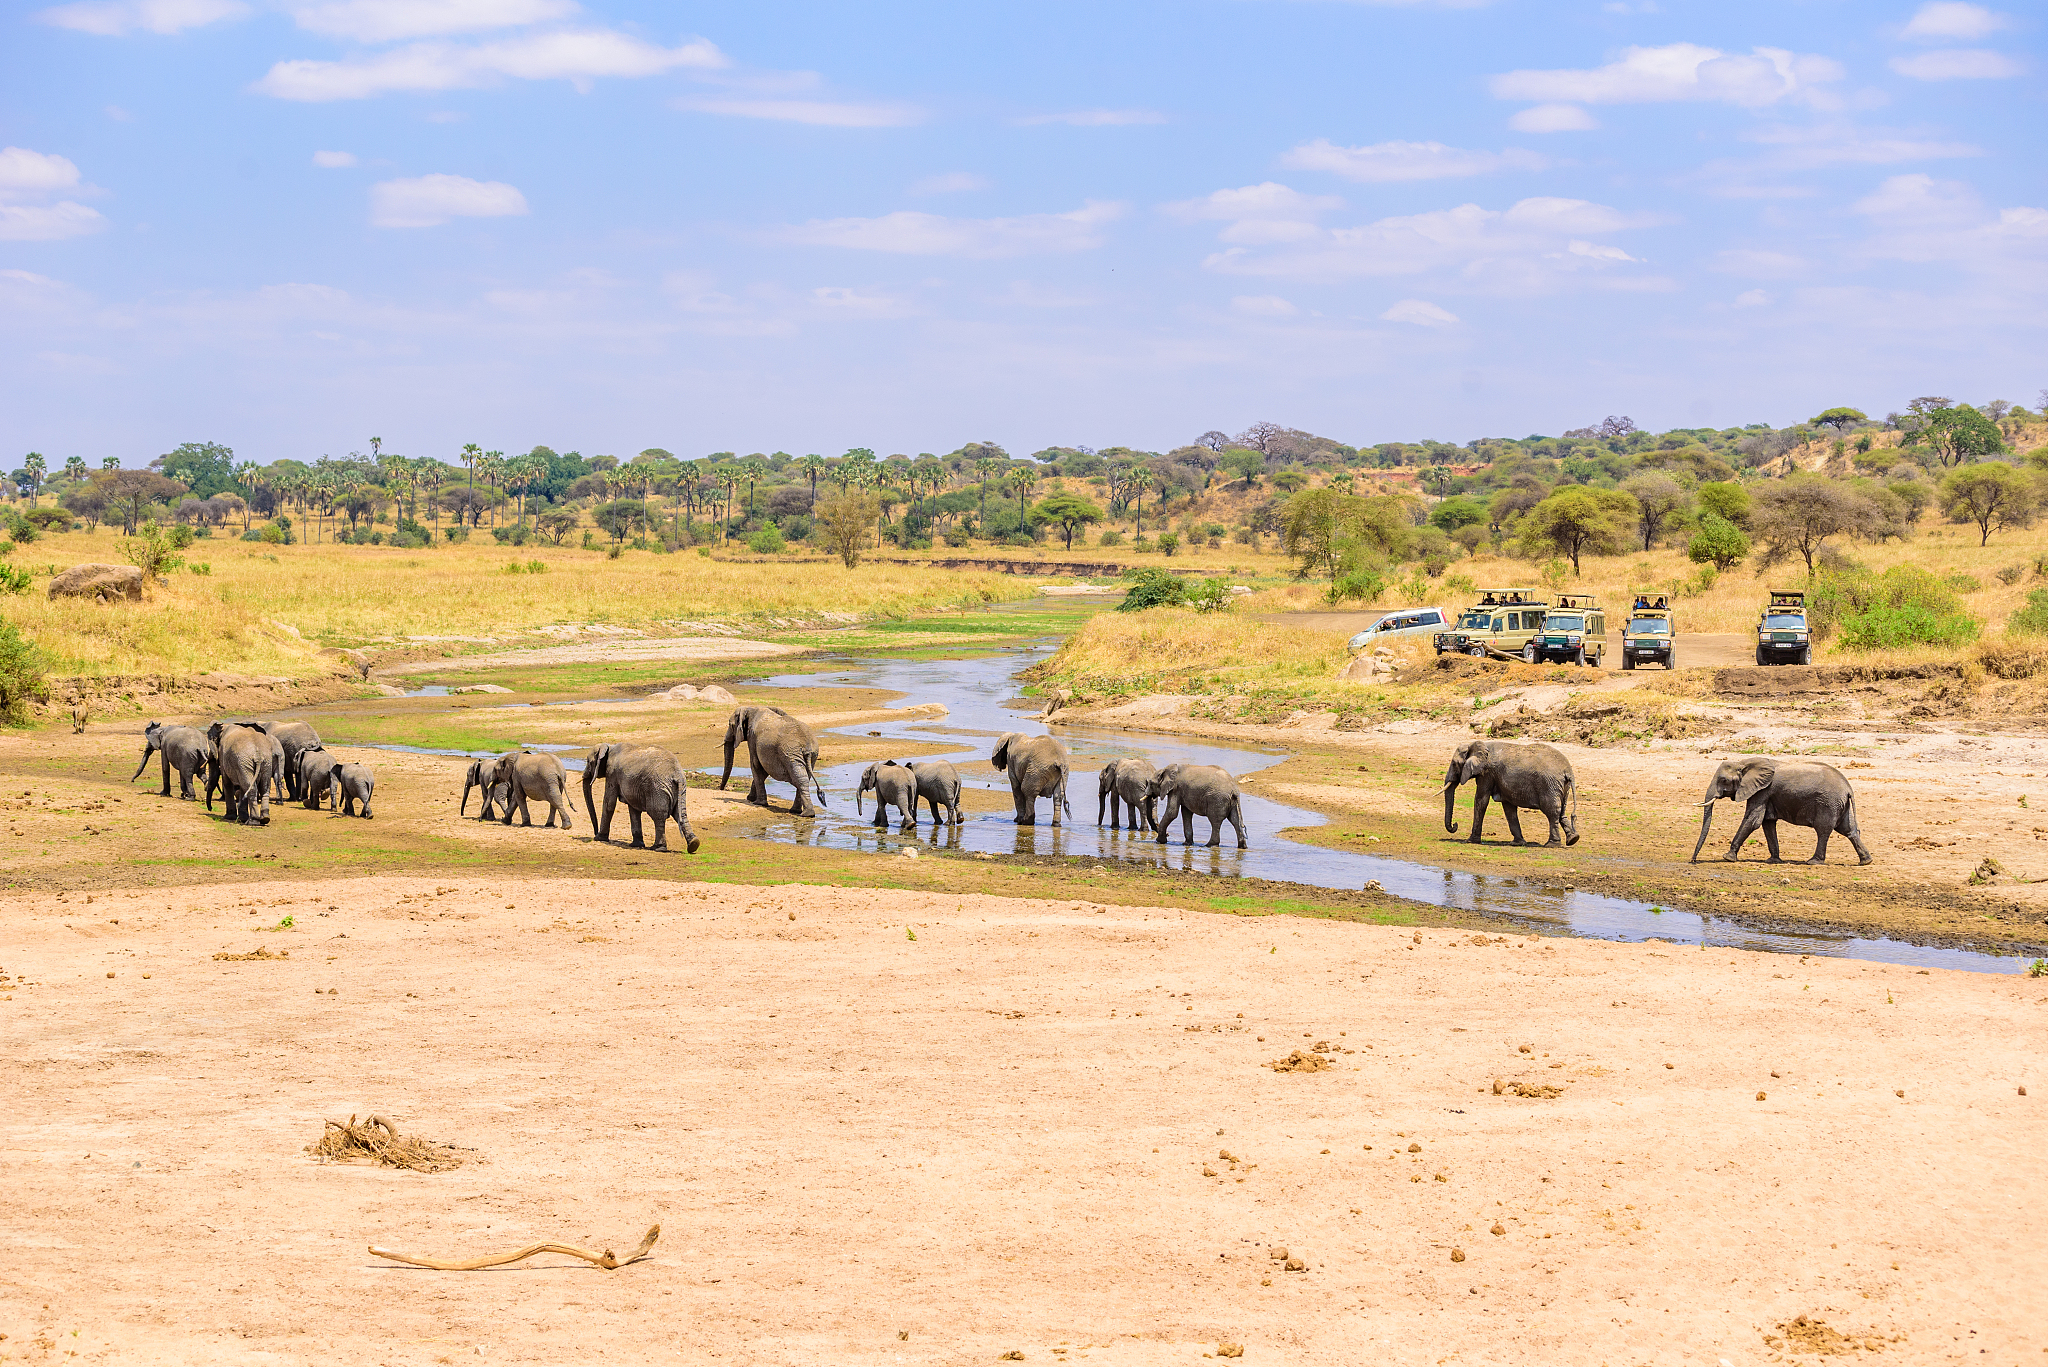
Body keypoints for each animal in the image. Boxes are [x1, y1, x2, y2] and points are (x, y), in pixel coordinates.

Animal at [1442, 739, 1579, 848]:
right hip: (1562, 786)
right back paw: (1573, 839)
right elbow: (1508, 807)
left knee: (1552, 811)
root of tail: (1568, 771)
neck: (1476, 744)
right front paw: (1518, 843)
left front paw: (1470, 841)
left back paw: (1552, 845)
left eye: (1454, 764)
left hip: (1549, 785)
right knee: (1561, 811)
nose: (1455, 825)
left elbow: (1481, 800)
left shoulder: (1487, 773)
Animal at [1692, 757, 1871, 866]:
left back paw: (1813, 862)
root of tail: (1848, 788)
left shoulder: (1761, 791)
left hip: (1828, 803)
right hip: (1841, 805)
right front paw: (1773, 860)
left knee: (1823, 830)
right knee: (1849, 830)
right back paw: (1866, 861)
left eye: (1723, 780)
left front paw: (1727, 857)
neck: (1744, 762)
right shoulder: (1765, 794)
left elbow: (1753, 820)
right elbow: (1767, 823)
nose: (1693, 861)